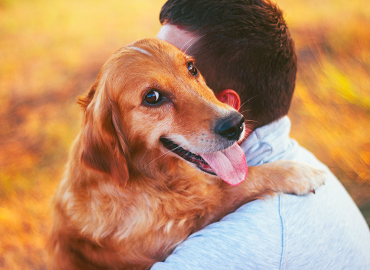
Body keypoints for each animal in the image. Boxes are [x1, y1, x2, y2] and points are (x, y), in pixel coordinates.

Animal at [47, 37, 326, 268]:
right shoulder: (174, 232)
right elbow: (235, 186)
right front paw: (296, 173)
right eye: (152, 97)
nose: (235, 124)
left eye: (191, 68)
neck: (153, 179)